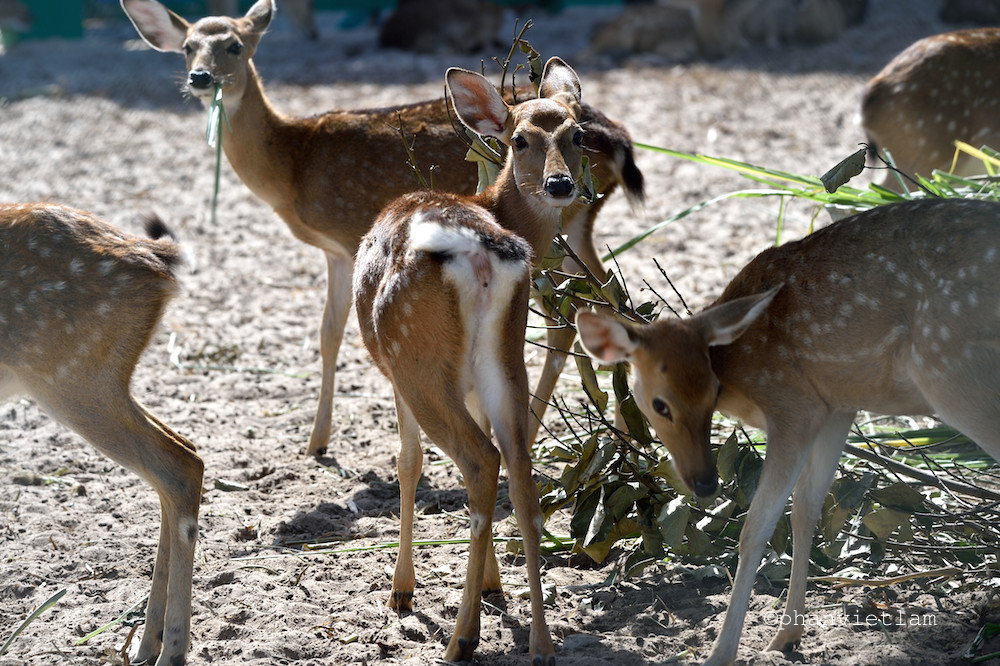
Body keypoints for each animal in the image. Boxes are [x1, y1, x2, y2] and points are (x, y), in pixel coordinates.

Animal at [0, 202, 205, 664]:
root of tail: (154, 258)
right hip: (102, 381)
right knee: (181, 453)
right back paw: (146, 643)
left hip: (70, 377)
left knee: (179, 465)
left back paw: (172, 649)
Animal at [121, 0, 644, 456]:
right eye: (188, 45)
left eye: (234, 45)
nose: (200, 77)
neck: (292, 163)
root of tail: (620, 138)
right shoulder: (334, 252)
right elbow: (327, 333)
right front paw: (316, 442)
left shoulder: (350, 231)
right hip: (576, 227)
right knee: (610, 298)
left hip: (565, 228)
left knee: (573, 312)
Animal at [352, 55, 588, 660]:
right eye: (521, 138)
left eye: (577, 135)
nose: (560, 183)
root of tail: (481, 251)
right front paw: (491, 586)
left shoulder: (396, 374)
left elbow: (407, 462)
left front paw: (402, 590)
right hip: (503, 354)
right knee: (520, 471)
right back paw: (541, 644)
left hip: (415, 356)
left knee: (480, 460)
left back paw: (460, 638)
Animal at [576, 196, 1000, 664]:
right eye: (660, 404)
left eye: (712, 390)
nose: (705, 483)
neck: (740, 371)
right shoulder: (836, 405)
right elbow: (806, 511)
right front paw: (786, 636)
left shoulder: (793, 407)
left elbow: (755, 528)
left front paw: (722, 652)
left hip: (953, 371)